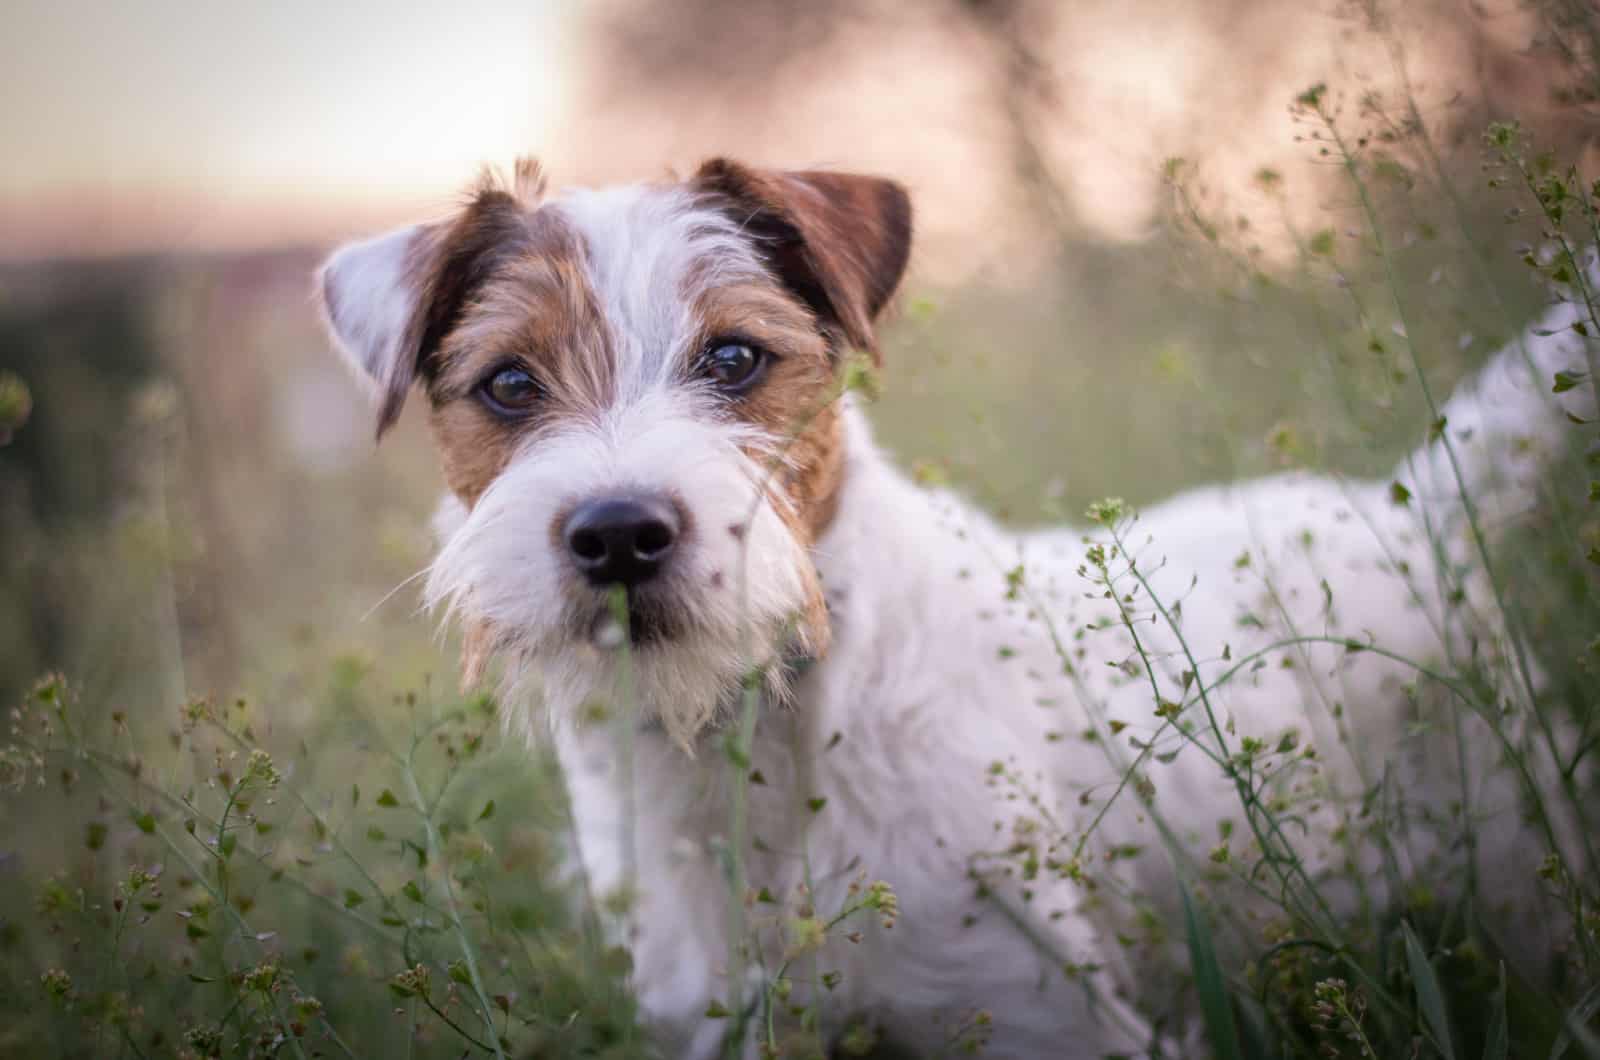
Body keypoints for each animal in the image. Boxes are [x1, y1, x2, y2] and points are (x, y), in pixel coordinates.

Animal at [315, 160, 1587, 1060]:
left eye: (734, 357)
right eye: (508, 384)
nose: (619, 533)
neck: (754, 744)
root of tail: (1409, 509)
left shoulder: (1041, 1017)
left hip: (1523, 866)